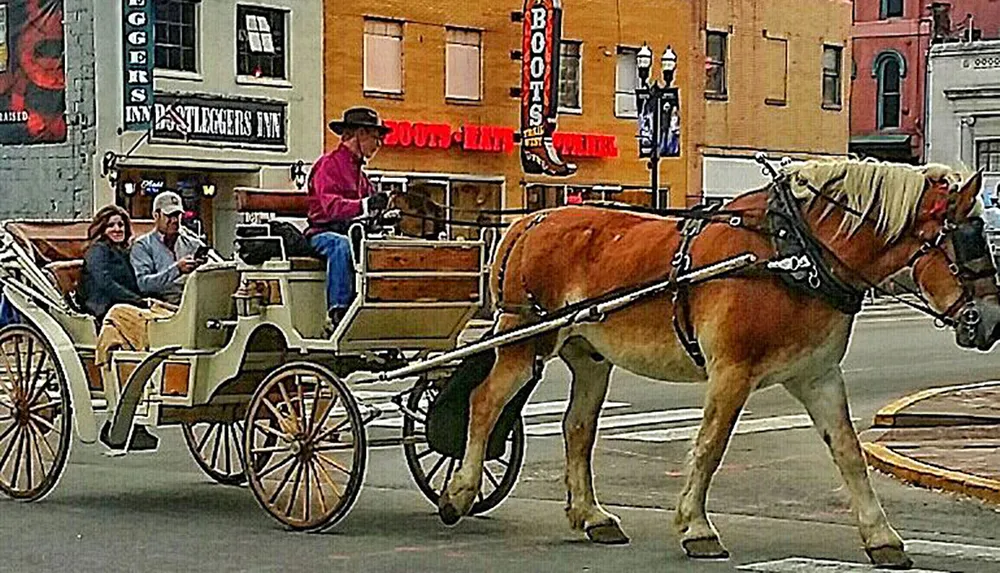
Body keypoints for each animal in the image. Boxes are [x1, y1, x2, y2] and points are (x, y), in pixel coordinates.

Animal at [436, 158, 1000, 568]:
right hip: (525, 339)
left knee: (577, 428)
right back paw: (460, 492)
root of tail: (533, 219)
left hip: (590, 355)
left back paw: (592, 516)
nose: (992, 322)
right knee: (485, 402)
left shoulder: (816, 375)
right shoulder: (733, 370)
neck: (793, 255)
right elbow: (709, 446)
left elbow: (848, 452)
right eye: (969, 241)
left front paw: (882, 536)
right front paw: (696, 527)